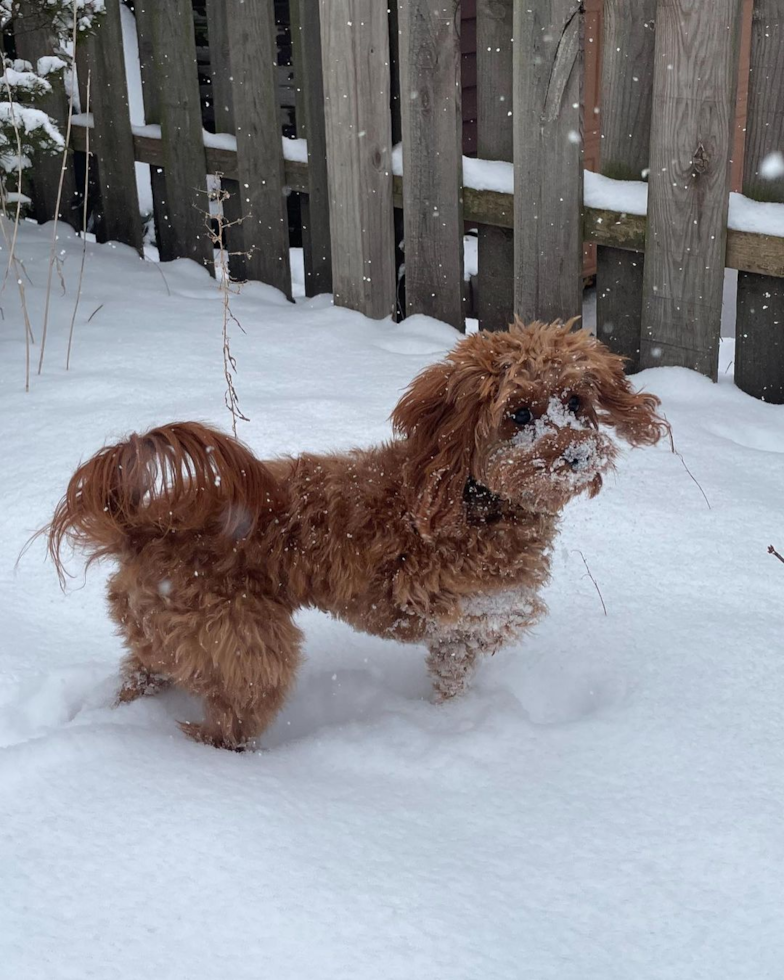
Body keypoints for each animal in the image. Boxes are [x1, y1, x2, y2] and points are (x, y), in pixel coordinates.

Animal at [44, 318, 668, 748]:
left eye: (576, 401)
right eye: (518, 412)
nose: (577, 455)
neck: (475, 497)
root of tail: (143, 530)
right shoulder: (447, 604)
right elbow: (482, 634)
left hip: (164, 638)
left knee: (140, 675)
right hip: (249, 647)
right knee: (222, 729)